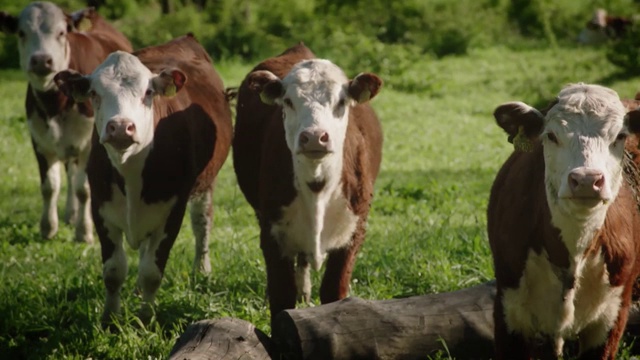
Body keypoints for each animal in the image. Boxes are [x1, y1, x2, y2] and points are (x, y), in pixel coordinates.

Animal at [0, 2, 132, 242]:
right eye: (21, 33)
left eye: (61, 33)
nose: (41, 59)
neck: (56, 104)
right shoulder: (39, 140)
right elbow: (49, 186)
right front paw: (48, 228)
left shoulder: (87, 144)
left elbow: (84, 189)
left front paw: (84, 231)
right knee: (70, 174)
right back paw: (70, 214)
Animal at [53, 34, 232, 324]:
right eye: (94, 93)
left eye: (148, 92)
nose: (120, 127)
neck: (131, 169)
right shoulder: (101, 209)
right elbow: (114, 271)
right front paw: (110, 320)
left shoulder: (173, 212)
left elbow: (152, 272)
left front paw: (145, 319)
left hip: (207, 183)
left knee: (202, 222)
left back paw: (201, 269)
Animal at [234, 43, 384, 324]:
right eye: (288, 101)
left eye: (341, 101)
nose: (314, 137)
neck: (317, 187)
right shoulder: (272, 232)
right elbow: (282, 294)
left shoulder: (354, 231)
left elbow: (334, 291)